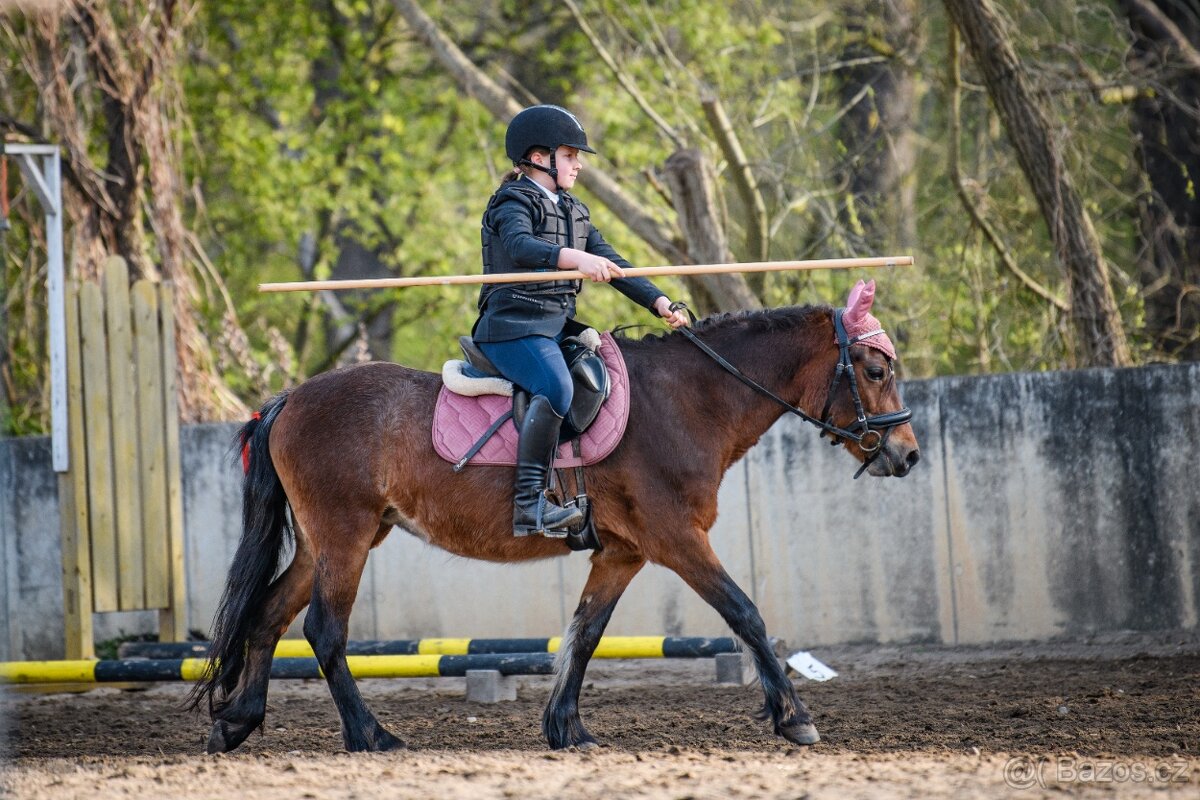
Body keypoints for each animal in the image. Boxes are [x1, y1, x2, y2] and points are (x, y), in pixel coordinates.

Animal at [188, 279, 920, 753]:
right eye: (875, 369)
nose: (908, 454)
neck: (688, 399)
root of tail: (288, 399)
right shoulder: (676, 538)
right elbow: (745, 613)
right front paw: (794, 718)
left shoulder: (623, 550)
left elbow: (584, 633)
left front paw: (565, 727)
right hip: (344, 537)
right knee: (324, 630)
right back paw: (372, 735)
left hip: (329, 541)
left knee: (268, 615)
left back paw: (237, 722)